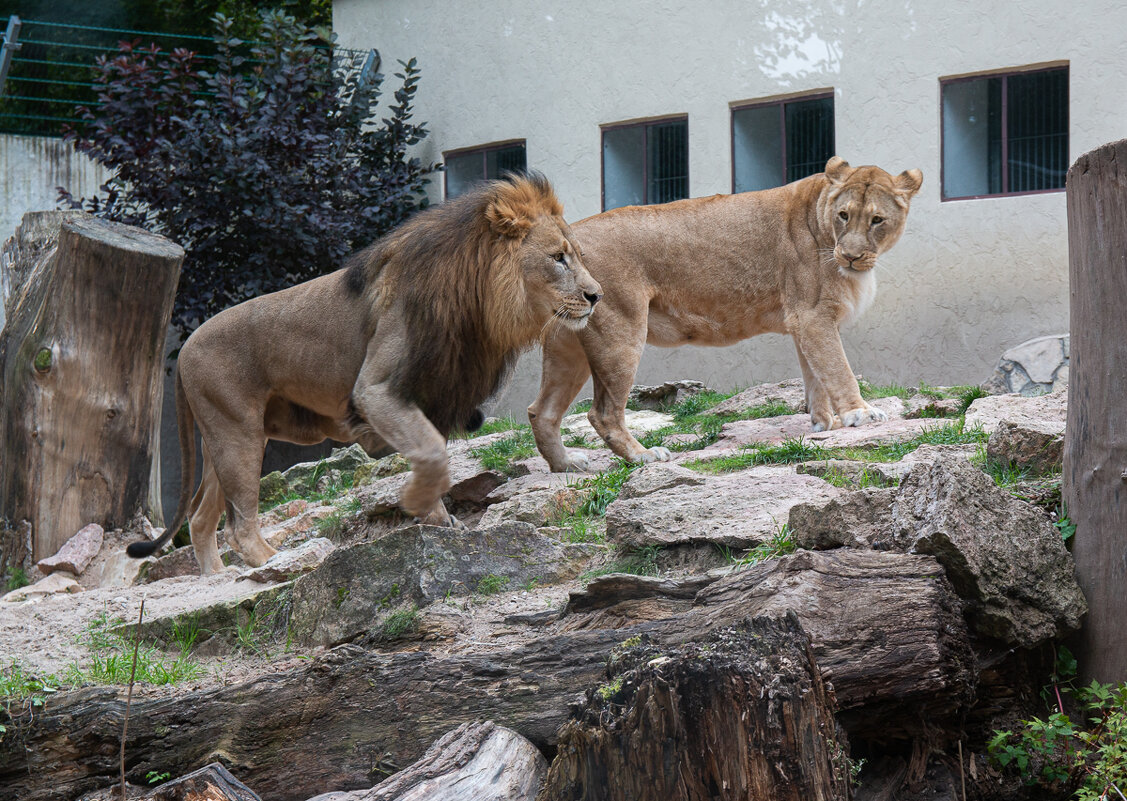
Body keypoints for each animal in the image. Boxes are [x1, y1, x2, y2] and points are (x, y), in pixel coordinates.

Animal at [127, 175, 604, 576]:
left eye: (580, 256)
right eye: (558, 258)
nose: (597, 295)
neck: (478, 304)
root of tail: (185, 347)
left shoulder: (433, 395)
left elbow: (433, 457)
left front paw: (439, 518)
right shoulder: (375, 391)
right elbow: (433, 452)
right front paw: (421, 508)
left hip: (224, 439)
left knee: (200, 518)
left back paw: (216, 577)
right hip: (237, 433)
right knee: (237, 523)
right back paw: (274, 562)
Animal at [531, 155, 919, 470]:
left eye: (877, 220)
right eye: (844, 215)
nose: (851, 256)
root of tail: (566, 240)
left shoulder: (805, 321)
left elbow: (816, 376)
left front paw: (824, 423)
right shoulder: (812, 316)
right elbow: (838, 369)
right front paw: (860, 413)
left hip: (570, 345)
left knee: (541, 411)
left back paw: (567, 465)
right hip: (621, 333)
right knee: (603, 413)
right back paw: (643, 456)